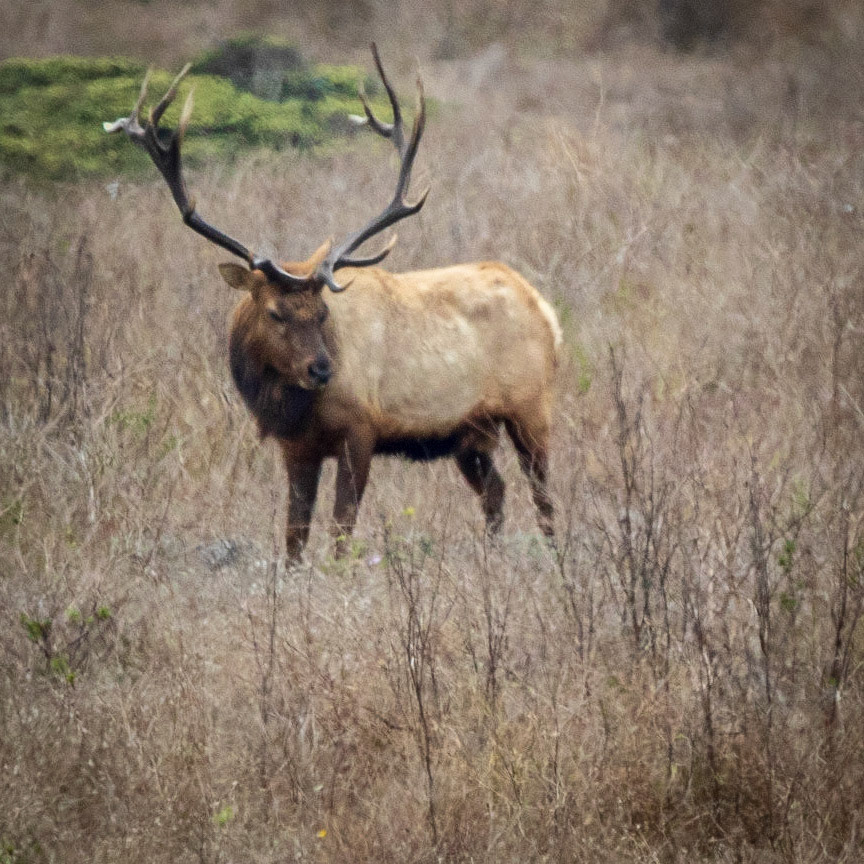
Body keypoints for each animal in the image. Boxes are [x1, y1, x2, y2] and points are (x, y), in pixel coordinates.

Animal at [104, 46, 562, 562]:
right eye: (274, 312)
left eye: (322, 314)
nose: (322, 369)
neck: (292, 405)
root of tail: (546, 310)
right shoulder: (296, 447)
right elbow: (294, 533)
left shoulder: (360, 430)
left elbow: (342, 529)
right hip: (468, 434)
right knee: (496, 492)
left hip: (530, 405)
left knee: (543, 496)